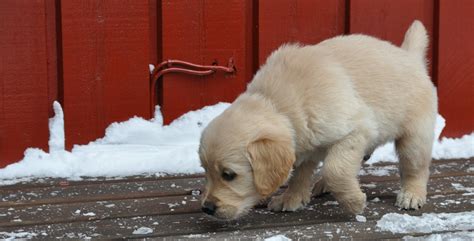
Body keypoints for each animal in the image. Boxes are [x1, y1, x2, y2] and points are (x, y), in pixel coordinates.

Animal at [197, 20, 436, 220]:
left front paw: (354, 202)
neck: (277, 103)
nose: (207, 208)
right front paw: (291, 198)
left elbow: (335, 170)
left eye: (228, 175)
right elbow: (300, 174)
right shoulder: (305, 142)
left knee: (415, 167)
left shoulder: (357, 129)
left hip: (415, 137)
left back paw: (411, 194)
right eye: (206, 170)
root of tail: (410, 57)